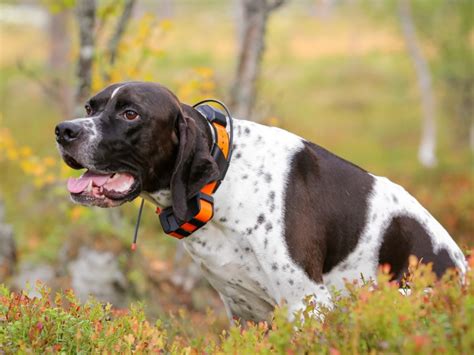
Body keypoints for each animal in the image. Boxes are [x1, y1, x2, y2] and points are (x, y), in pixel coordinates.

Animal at [55, 82, 466, 324]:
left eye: (130, 114)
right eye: (90, 108)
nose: (63, 130)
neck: (222, 185)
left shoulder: (306, 305)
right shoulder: (245, 312)